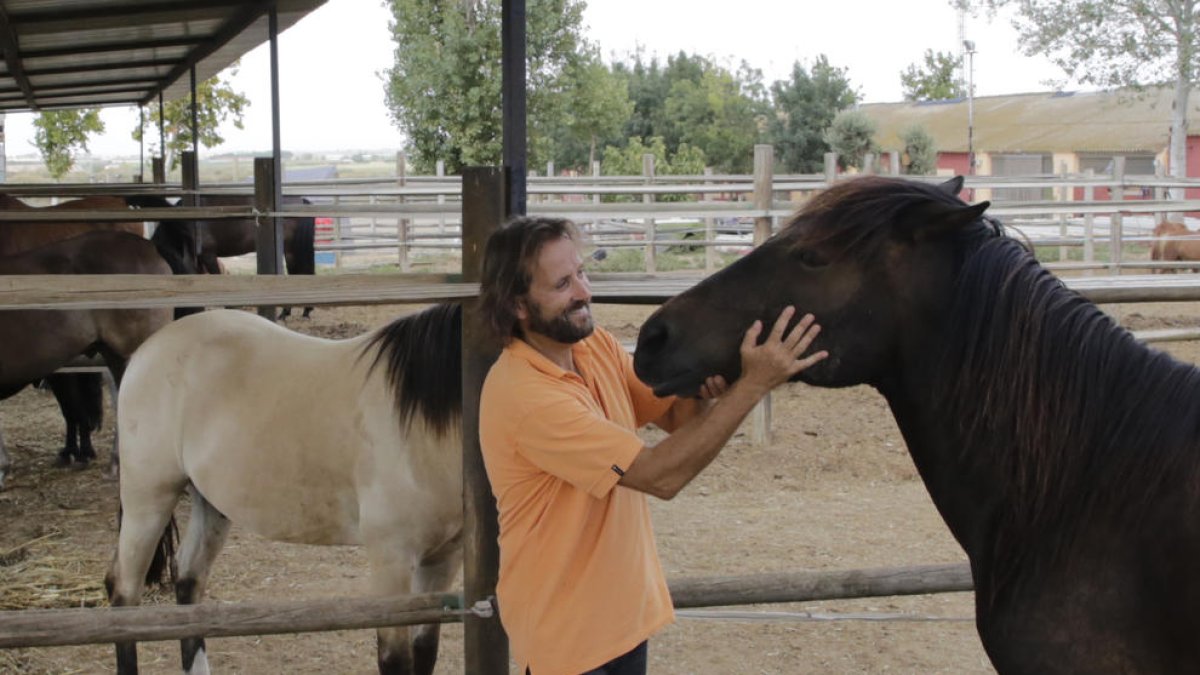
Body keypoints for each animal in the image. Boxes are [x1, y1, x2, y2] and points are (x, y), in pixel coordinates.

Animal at [106, 303, 464, 675]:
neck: (419, 421)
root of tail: (148, 350)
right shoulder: (391, 560)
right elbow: (395, 660)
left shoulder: (443, 559)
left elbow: (425, 651)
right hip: (148, 501)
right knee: (124, 592)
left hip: (211, 504)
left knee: (188, 579)